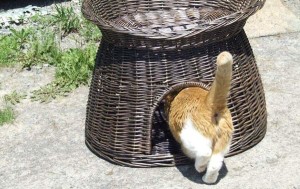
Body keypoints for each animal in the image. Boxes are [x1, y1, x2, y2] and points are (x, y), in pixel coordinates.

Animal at [165, 51, 233, 183]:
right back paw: (208, 179)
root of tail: (208, 103)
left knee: (205, 152)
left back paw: (200, 167)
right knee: (215, 164)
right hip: (223, 143)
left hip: (191, 138)